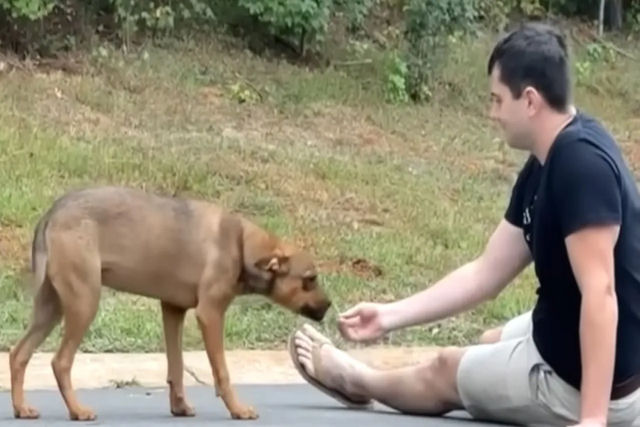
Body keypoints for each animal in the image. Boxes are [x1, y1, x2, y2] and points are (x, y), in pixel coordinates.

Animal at [8, 186, 330, 422]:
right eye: (310, 279)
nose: (328, 306)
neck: (241, 244)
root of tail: (52, 213)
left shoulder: (173, 309)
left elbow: (176, 366)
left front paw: (180, 407)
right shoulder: (210, 314)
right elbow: (222, 372)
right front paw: (237, 409)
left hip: (52, 306)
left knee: (18, 354)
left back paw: (22, 408)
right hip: (84, 301)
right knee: (60, 361)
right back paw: (77, 410)